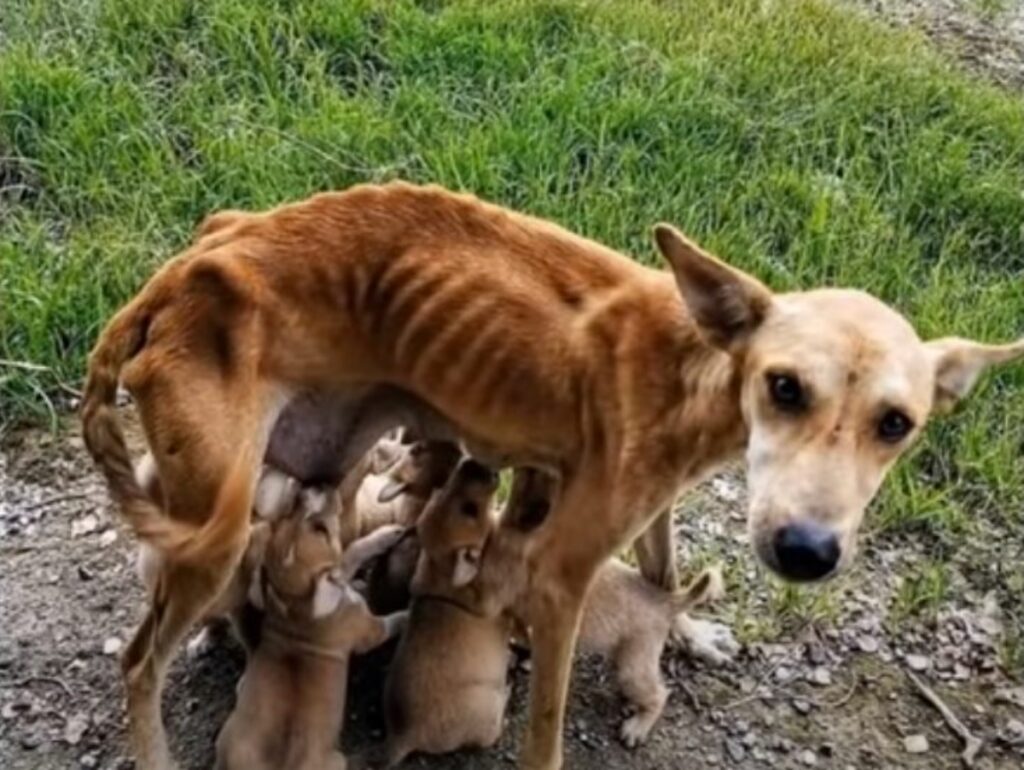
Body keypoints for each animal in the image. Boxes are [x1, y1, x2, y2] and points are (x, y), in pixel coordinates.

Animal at [216, 489, 403, 770]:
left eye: (289, 513)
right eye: (320, 529)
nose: (312, 489)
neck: (295, 601)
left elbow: (350, 553)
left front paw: (385, 536)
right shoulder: (370, 630)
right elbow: (394, 620)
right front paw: (410, 612)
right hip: (337, 759)